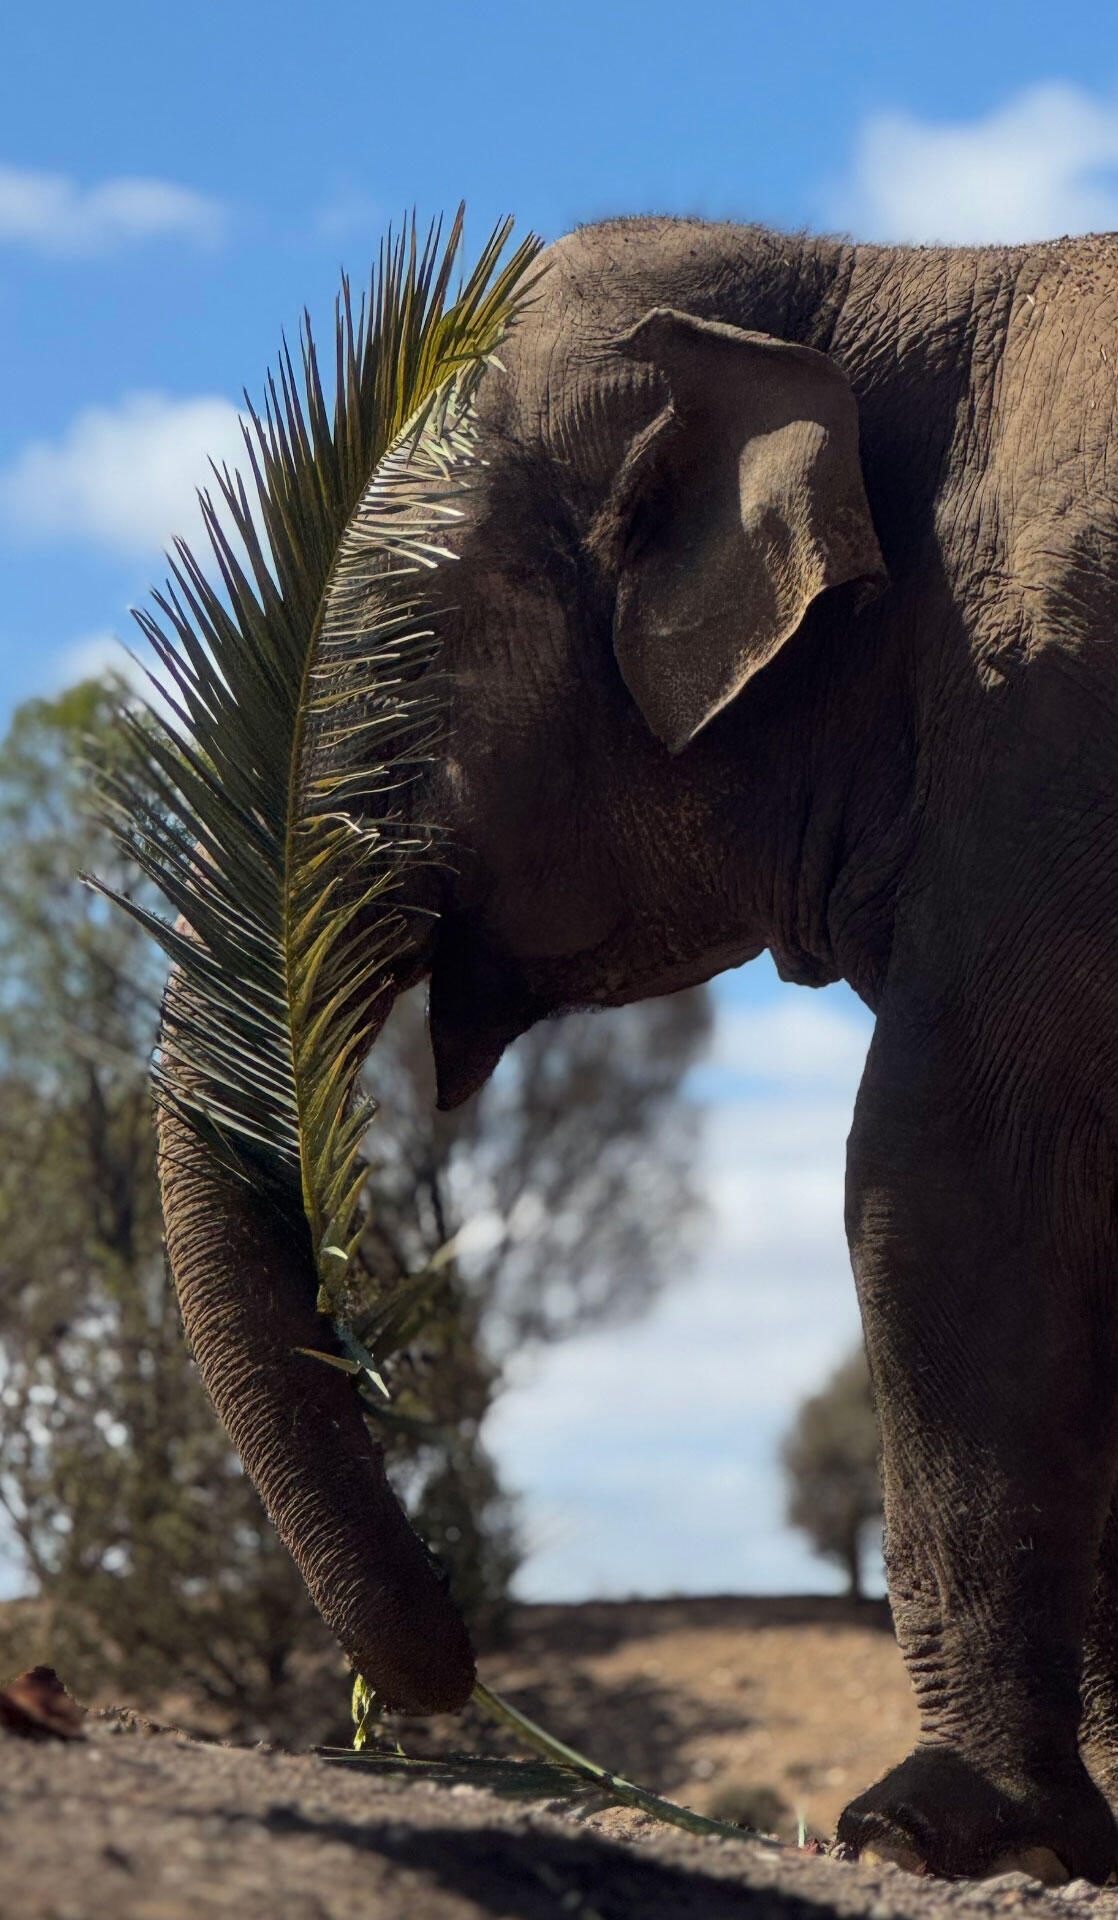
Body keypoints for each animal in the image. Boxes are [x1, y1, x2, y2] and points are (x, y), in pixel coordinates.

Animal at [157, 214, 1118, 1882]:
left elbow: (939, 1180)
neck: (883, 275)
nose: (434, 1681)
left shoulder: (1046, 725)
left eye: (385, 677)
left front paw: (922, 1835)